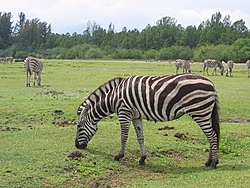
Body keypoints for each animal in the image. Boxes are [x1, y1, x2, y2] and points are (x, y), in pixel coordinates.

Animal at [75, 73, 220, 169]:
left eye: (79, 126)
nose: (77, 146)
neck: (113, 97)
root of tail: (211, 83)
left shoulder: (124, 112)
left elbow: (123, 136)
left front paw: (119, 155)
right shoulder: (136, 116)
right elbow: (140, 137)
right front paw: (142, 159)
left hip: (200, 112)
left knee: (212, 136)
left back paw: (213, 163)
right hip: (204, 113)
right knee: (211, 136)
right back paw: (209, 161)